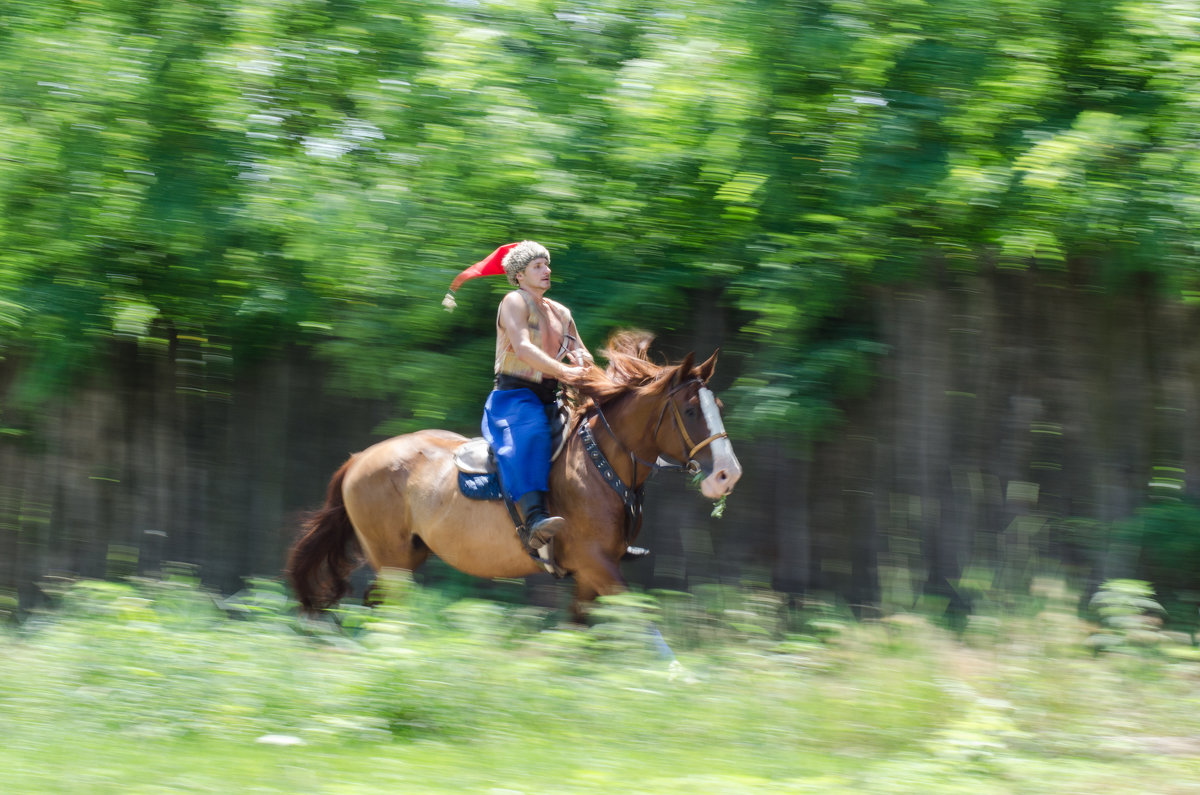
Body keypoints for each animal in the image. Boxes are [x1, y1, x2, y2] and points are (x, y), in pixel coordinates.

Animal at [288, 329, 739, 624]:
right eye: (691, 411)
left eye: (716, 405)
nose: (727, 474)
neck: (599, 465)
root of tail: (360, 458)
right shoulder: (597, 565)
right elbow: (639, 622)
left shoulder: (591, 575)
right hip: (392, 560)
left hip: (405, 557)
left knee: (376, 603)